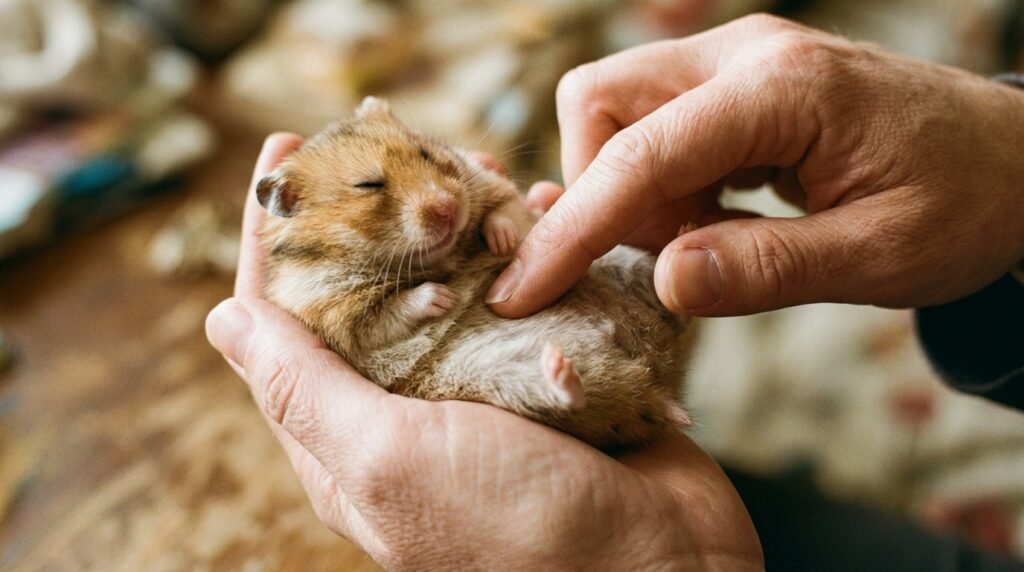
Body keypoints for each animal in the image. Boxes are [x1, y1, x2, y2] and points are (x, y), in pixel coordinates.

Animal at [257, 96, 694, 448]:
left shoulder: (488, 183)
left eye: (425, 152)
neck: (443, 257)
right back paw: (560, 370)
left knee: (674, 309)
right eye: (368, 185)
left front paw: (501, 242)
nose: (448, 207)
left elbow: (503, 210)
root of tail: (659, 384)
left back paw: (685, 239)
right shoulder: (337, 315)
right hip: (511, 383)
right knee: (572, 398)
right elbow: (391, 311)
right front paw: (447, 297)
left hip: (626, 267)